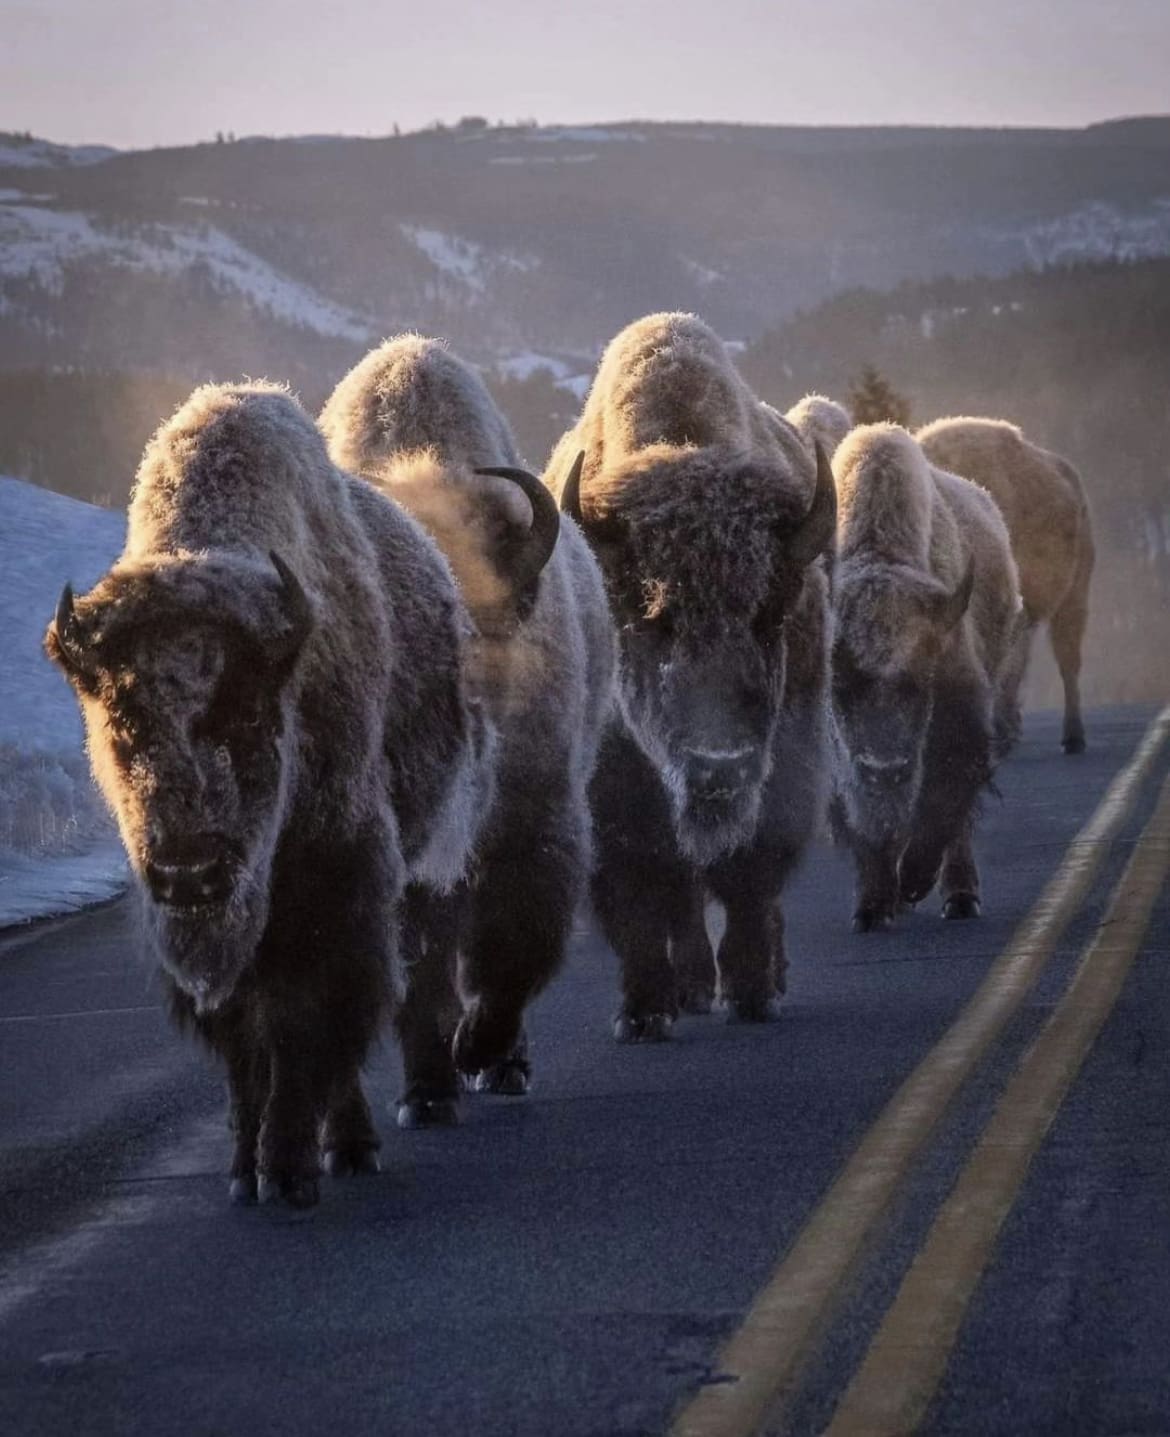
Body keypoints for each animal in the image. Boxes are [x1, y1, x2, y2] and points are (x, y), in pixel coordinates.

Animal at [546, 311, 839, 1034]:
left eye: (768, 614)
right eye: (652, 620)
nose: (718, 767)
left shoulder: (782, 766)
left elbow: (749, 881)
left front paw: (752, 992)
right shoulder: (615, 794)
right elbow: (640, 896)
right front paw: (643, 1011)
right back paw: (688, 988)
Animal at [833, 422, 1023, 931]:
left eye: (919, 683)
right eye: (839, 688)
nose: (885, 770)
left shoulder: (961, 718)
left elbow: (943, 802)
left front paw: (915, 882)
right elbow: (862, 823)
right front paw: (873, 907)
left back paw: (959, 898)